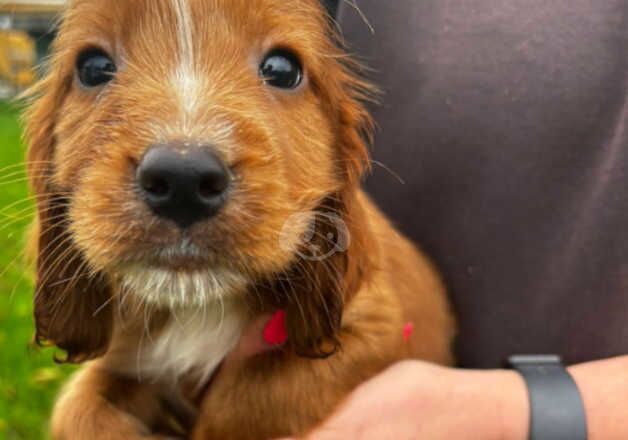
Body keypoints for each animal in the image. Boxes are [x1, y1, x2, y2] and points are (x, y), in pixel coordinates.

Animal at [24, 0, 456, 440]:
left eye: (282, 69)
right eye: (93, 67)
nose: (183, 180)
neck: (198, 310)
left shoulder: (381, 326)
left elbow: (251, 394)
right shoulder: (126, 356)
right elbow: (77, 410)